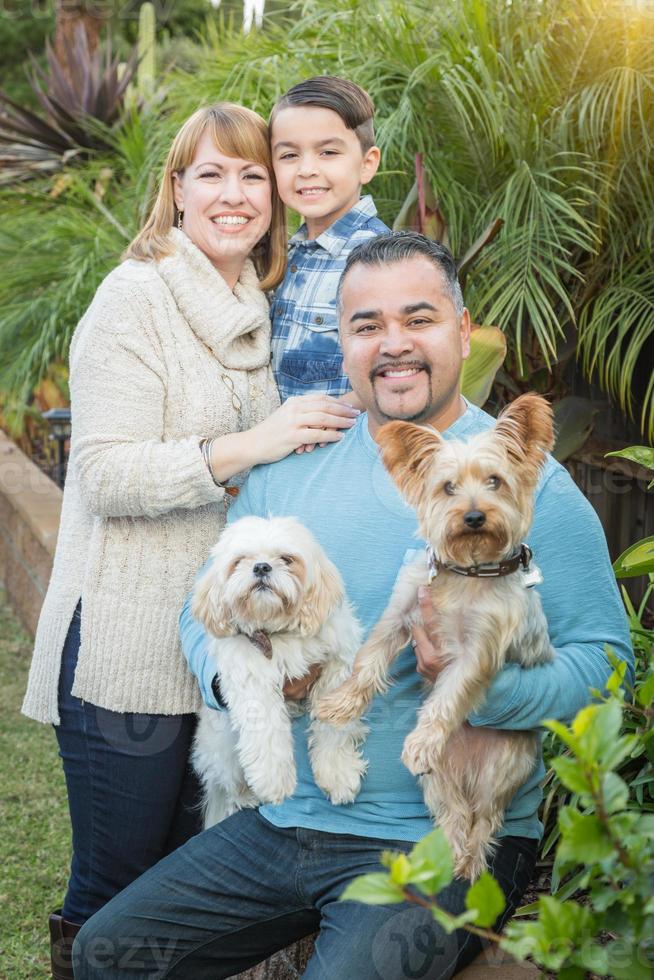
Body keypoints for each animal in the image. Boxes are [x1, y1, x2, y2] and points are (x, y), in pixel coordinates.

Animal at [192, 512, 372, 828]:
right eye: (240, 560)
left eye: (287, 559)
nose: (261, 567)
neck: (279, 632)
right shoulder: (251, 676)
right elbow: (266, 729)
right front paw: (273, 780)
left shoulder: (339, 664)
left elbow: (334, 726)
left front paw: (337, 772)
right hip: (223, 748)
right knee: (231, 785)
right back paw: (247, 796)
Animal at [320, 394, 556, 876]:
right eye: (448, 487)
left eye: (495, 481)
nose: (474, 516)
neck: (466, 570)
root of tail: (464, 768)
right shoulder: (401, 613)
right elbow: (369, 659)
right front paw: (341, 703)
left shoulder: (478, 651)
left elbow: (449, 696)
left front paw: (423, 740)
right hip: (436, 782)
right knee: (453, 814)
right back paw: (446, 855)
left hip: (501, 769)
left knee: (484, 819)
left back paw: (468, 867)